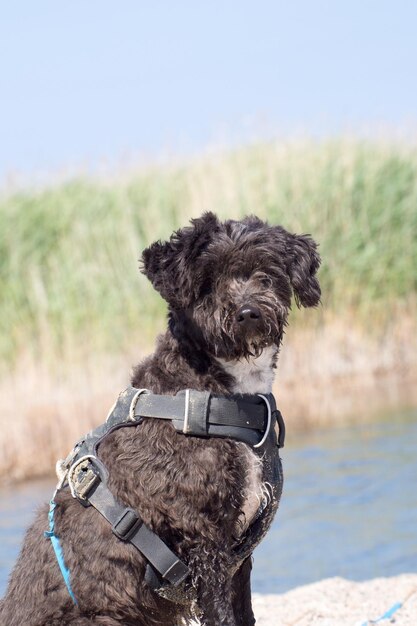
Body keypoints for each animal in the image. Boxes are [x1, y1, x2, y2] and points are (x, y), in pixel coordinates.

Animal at [0, 212, 320, 620]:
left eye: (265, 273)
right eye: (208, 282)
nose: (248, 312)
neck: (212, 397)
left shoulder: (237, 557)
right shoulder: (205, 546)